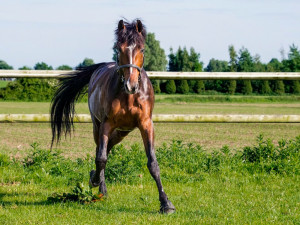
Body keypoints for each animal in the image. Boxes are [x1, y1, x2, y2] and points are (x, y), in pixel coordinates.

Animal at [50, 19, 175, 214]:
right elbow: (101, 158)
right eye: (118, 48)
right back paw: (99, 185)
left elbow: (153, 163)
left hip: (123, 131)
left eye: (142, 49)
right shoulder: (106, 124)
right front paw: (96, 183)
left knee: (108, 147)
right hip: (98, 126)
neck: (129, 96)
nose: (131, 85)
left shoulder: (146, 124)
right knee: (101, 151)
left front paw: (166, 203)